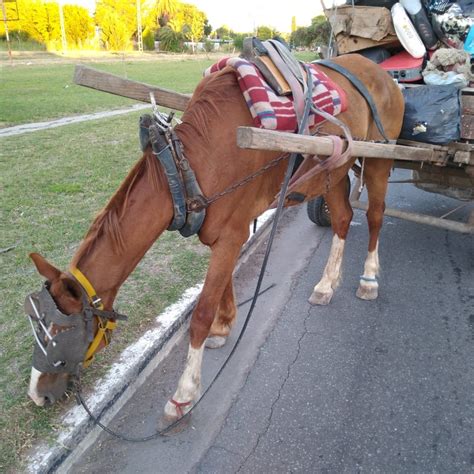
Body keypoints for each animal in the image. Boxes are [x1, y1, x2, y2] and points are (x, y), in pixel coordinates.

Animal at [25, 53, 404, 420]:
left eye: (61, 332)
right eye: (38, 324)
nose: (37, 395)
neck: (185, 170)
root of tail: (381, 73)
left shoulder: (231, 233)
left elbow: (201, 314)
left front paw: (184, 392)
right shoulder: (222, 234)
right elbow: (223, 288)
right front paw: (223, 329)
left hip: (379, 159)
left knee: (375, 216)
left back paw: (368, 278)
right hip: (335, 168)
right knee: (342, 219)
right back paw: (326, 284)